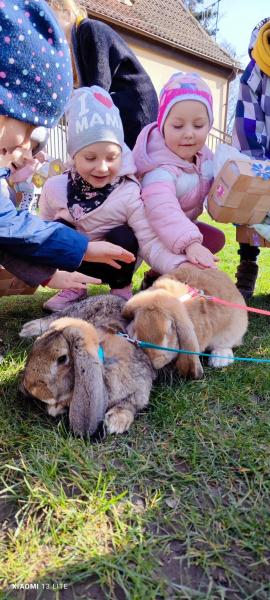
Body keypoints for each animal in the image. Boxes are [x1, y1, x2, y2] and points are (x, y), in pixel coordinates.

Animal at [20, 296, 156, 436]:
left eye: (62, 359)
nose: (29, 388)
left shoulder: (140, 387)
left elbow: (130, 404)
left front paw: (115, 423)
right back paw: (27, 329)